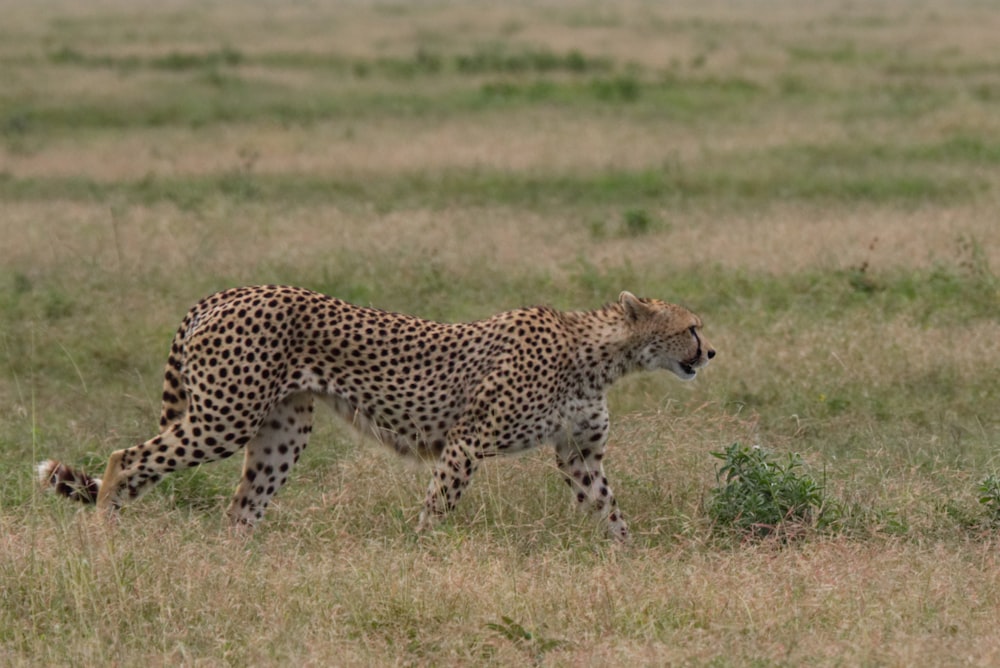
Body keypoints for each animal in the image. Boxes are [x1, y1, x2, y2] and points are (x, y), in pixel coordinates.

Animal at [37, 284, 712, 540]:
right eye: (691, 326)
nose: (711, 352)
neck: (598, 354)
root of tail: (227, 292)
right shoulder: (467, 441)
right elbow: (437, 507)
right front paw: (421, 555)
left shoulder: (578, 456)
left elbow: (610, 511)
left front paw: (630, 562)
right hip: (224, 418)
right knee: (125, 458)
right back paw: (105, 536)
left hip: (283, 430)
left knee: (239, 507)